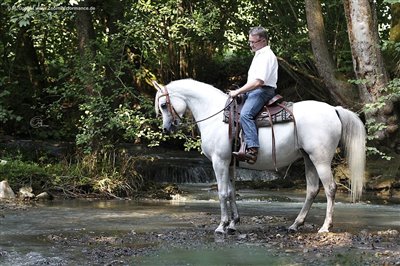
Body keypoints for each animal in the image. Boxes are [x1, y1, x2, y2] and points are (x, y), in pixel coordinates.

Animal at [153, 78, 366, 233]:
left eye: (163, 105)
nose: (166, 128)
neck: (215, 116)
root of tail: (334, 109)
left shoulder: (219, 161)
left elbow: (222, 193)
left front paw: (222, 226)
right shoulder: (230, 163)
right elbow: (231, 192)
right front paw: (233, 223)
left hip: (320, 159)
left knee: (330, 189)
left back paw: (325, 227)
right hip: (308, 158)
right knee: (312, 190)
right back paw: (296, 224)